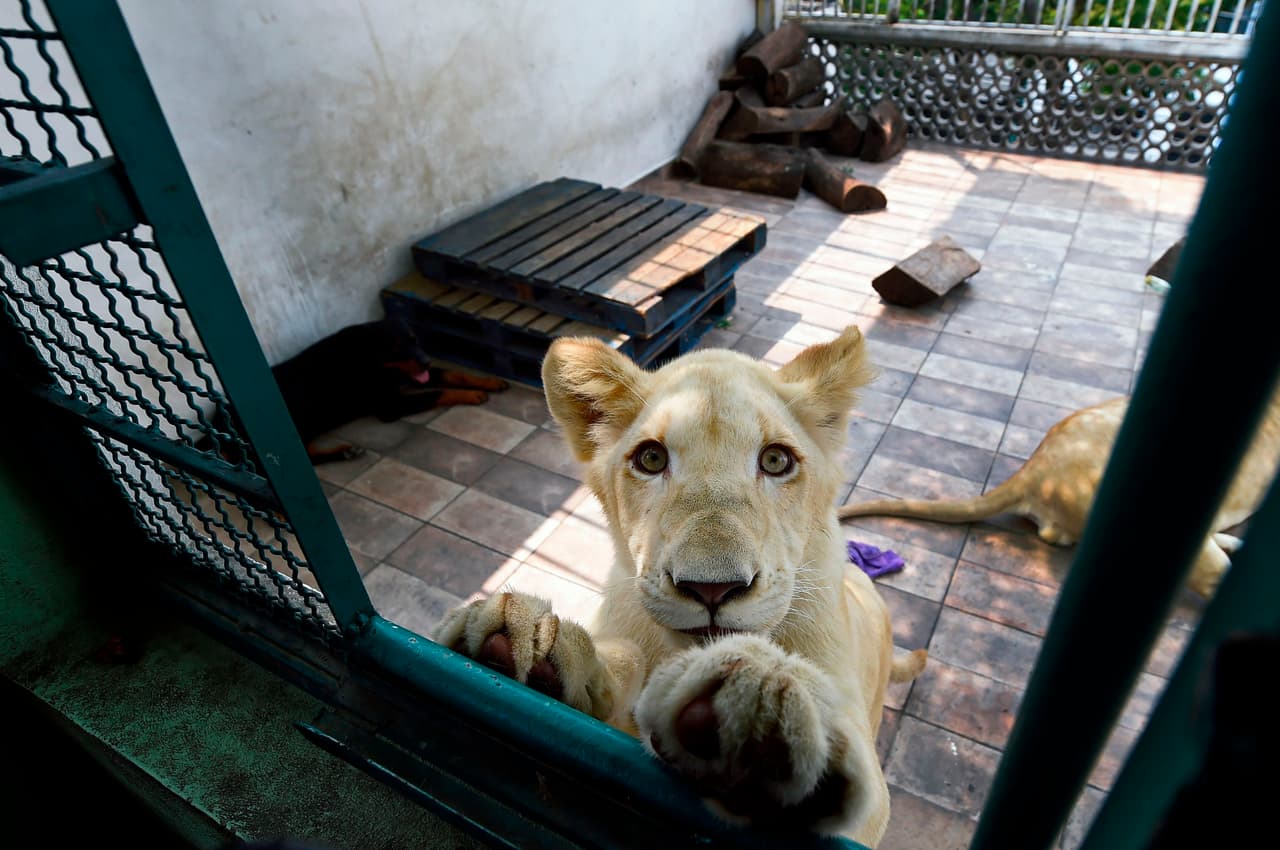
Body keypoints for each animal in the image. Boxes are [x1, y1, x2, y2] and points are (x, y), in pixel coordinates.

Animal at [435, 325, 927, 846]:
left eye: (776, 461)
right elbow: (622, 659)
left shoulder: (874, 806)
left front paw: (765, 703)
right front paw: (532, 641)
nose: (713, 589)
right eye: (651, 459)